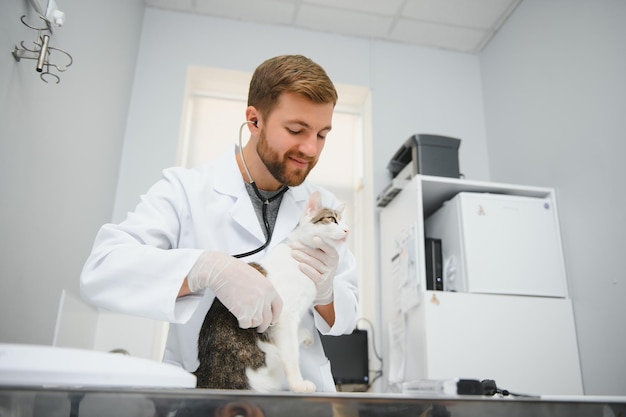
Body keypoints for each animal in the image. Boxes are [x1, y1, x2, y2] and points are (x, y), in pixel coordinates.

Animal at [193, 190, 348, 392]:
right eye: (332, 220)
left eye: (344, 222)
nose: (347, 231)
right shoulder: (285, 317)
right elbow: (291, 354)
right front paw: (298, 384)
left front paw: (305, 337)